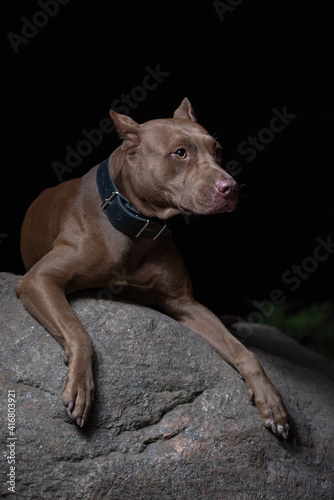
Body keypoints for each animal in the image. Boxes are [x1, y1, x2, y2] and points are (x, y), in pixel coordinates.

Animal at [15, 97, 290, 438]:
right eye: (180, 153)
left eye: (217, 150)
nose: (231, 187)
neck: (137, 226)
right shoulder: (39, 279)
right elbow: (79, 332)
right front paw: (80, 385)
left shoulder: (185, 304)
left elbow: (244, 352)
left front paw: (269, 397)